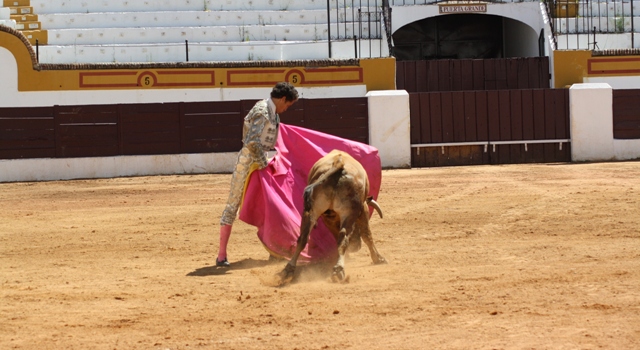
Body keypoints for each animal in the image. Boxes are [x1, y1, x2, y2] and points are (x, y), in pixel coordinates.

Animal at [276, 149, 384, 286]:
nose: (356, 247)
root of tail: (339, 162)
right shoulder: (362, 208)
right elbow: (367, 234)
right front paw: (378, 258)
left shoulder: (328, 217)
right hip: (349, 211)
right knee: (343, 237)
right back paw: (338, 270)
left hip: (310, 212)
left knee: (303, 238)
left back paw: (287, 270)